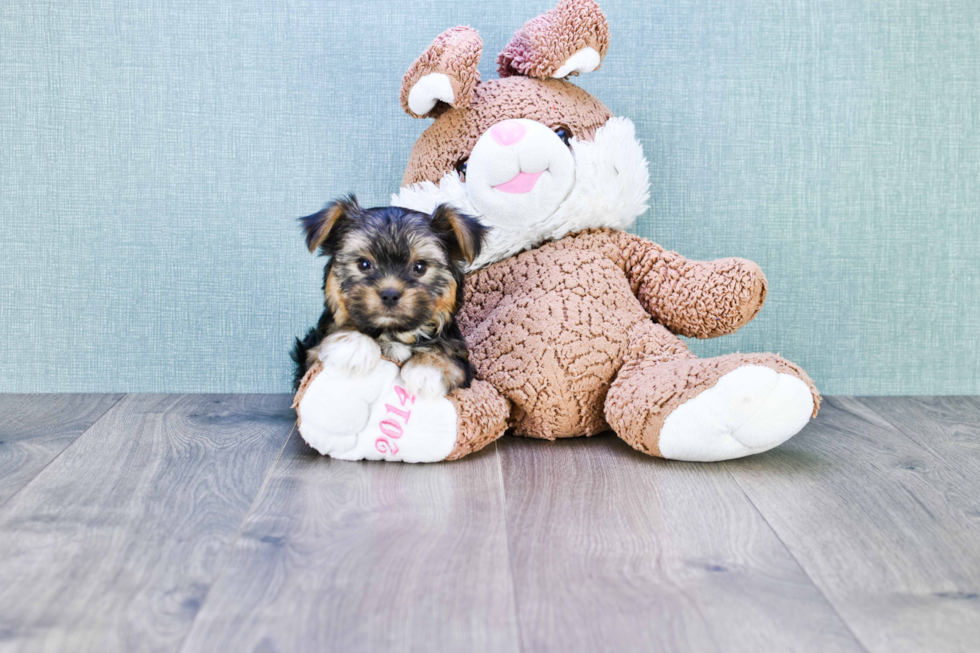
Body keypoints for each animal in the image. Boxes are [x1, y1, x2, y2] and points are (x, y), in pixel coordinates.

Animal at [290, 194, 490, 400]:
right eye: (363, 264)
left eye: (419, 267)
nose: (390, 294)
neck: (393, 333)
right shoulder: (309, 357)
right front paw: (354, 342)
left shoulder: (463, 361)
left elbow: (450, 356)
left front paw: (428, 368)